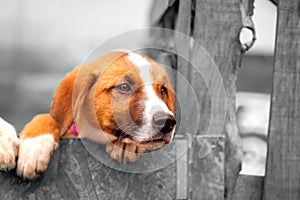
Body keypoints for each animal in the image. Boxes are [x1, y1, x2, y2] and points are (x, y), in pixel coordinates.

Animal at [0, 50, 176, 179]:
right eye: (124, 87)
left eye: (162, 90)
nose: (168, 122)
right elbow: (47, 117)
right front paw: (34, 149)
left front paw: (127, 146)